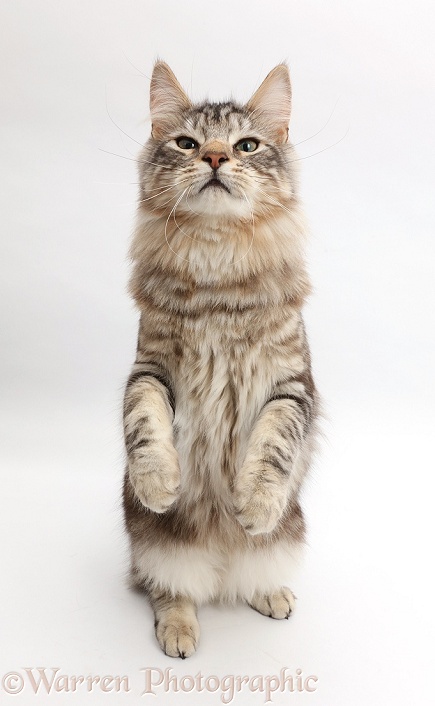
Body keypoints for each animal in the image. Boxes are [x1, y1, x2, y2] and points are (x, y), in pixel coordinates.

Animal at [122, 59, 320, 656]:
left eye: (246, 145)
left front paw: (253, 505)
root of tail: (220, 563)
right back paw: (179, 631)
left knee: (252, 572)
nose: (213, 157)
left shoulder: (292, 385)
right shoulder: (149, 369)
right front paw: (159, 483)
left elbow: (274, 445)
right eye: (187, 143)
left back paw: (269, 591)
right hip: (155, 548)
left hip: (287, 537)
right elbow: (144, 423)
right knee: (169, 590)